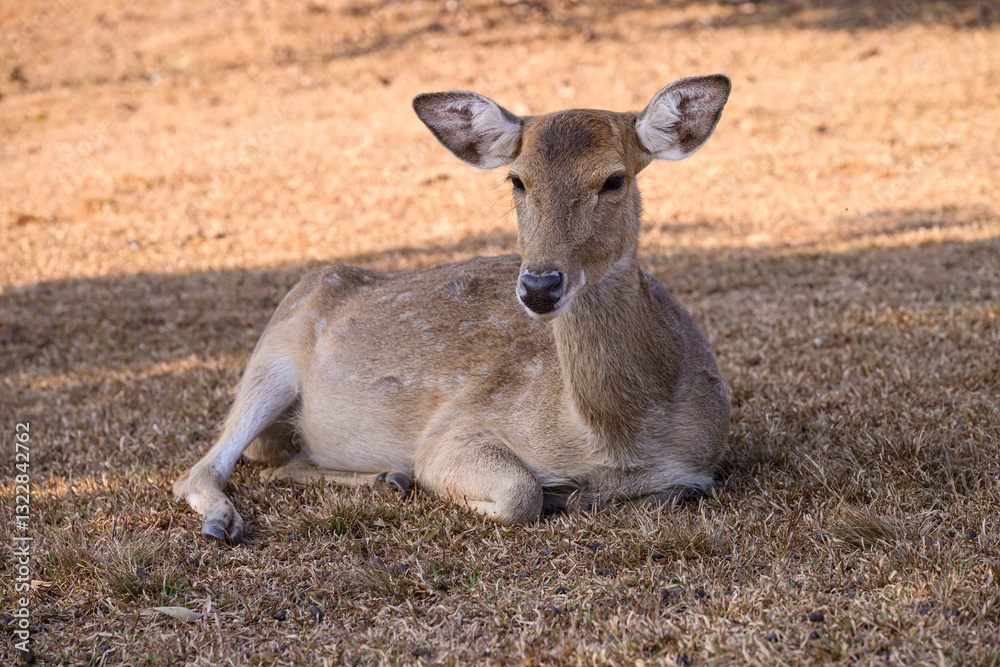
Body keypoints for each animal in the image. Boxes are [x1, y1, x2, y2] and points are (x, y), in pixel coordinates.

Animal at [173, 75, 732, 544]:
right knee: (199, 470)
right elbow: (520, 493)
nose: (539, 286)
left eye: (614, 179)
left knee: (279, 465)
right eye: (517, 180)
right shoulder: (455, 430)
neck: (615, 439)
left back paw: (387, 478)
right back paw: (225, 522)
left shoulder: (701, 467)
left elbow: (680, 491)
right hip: (271, 355)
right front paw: (553, 494)